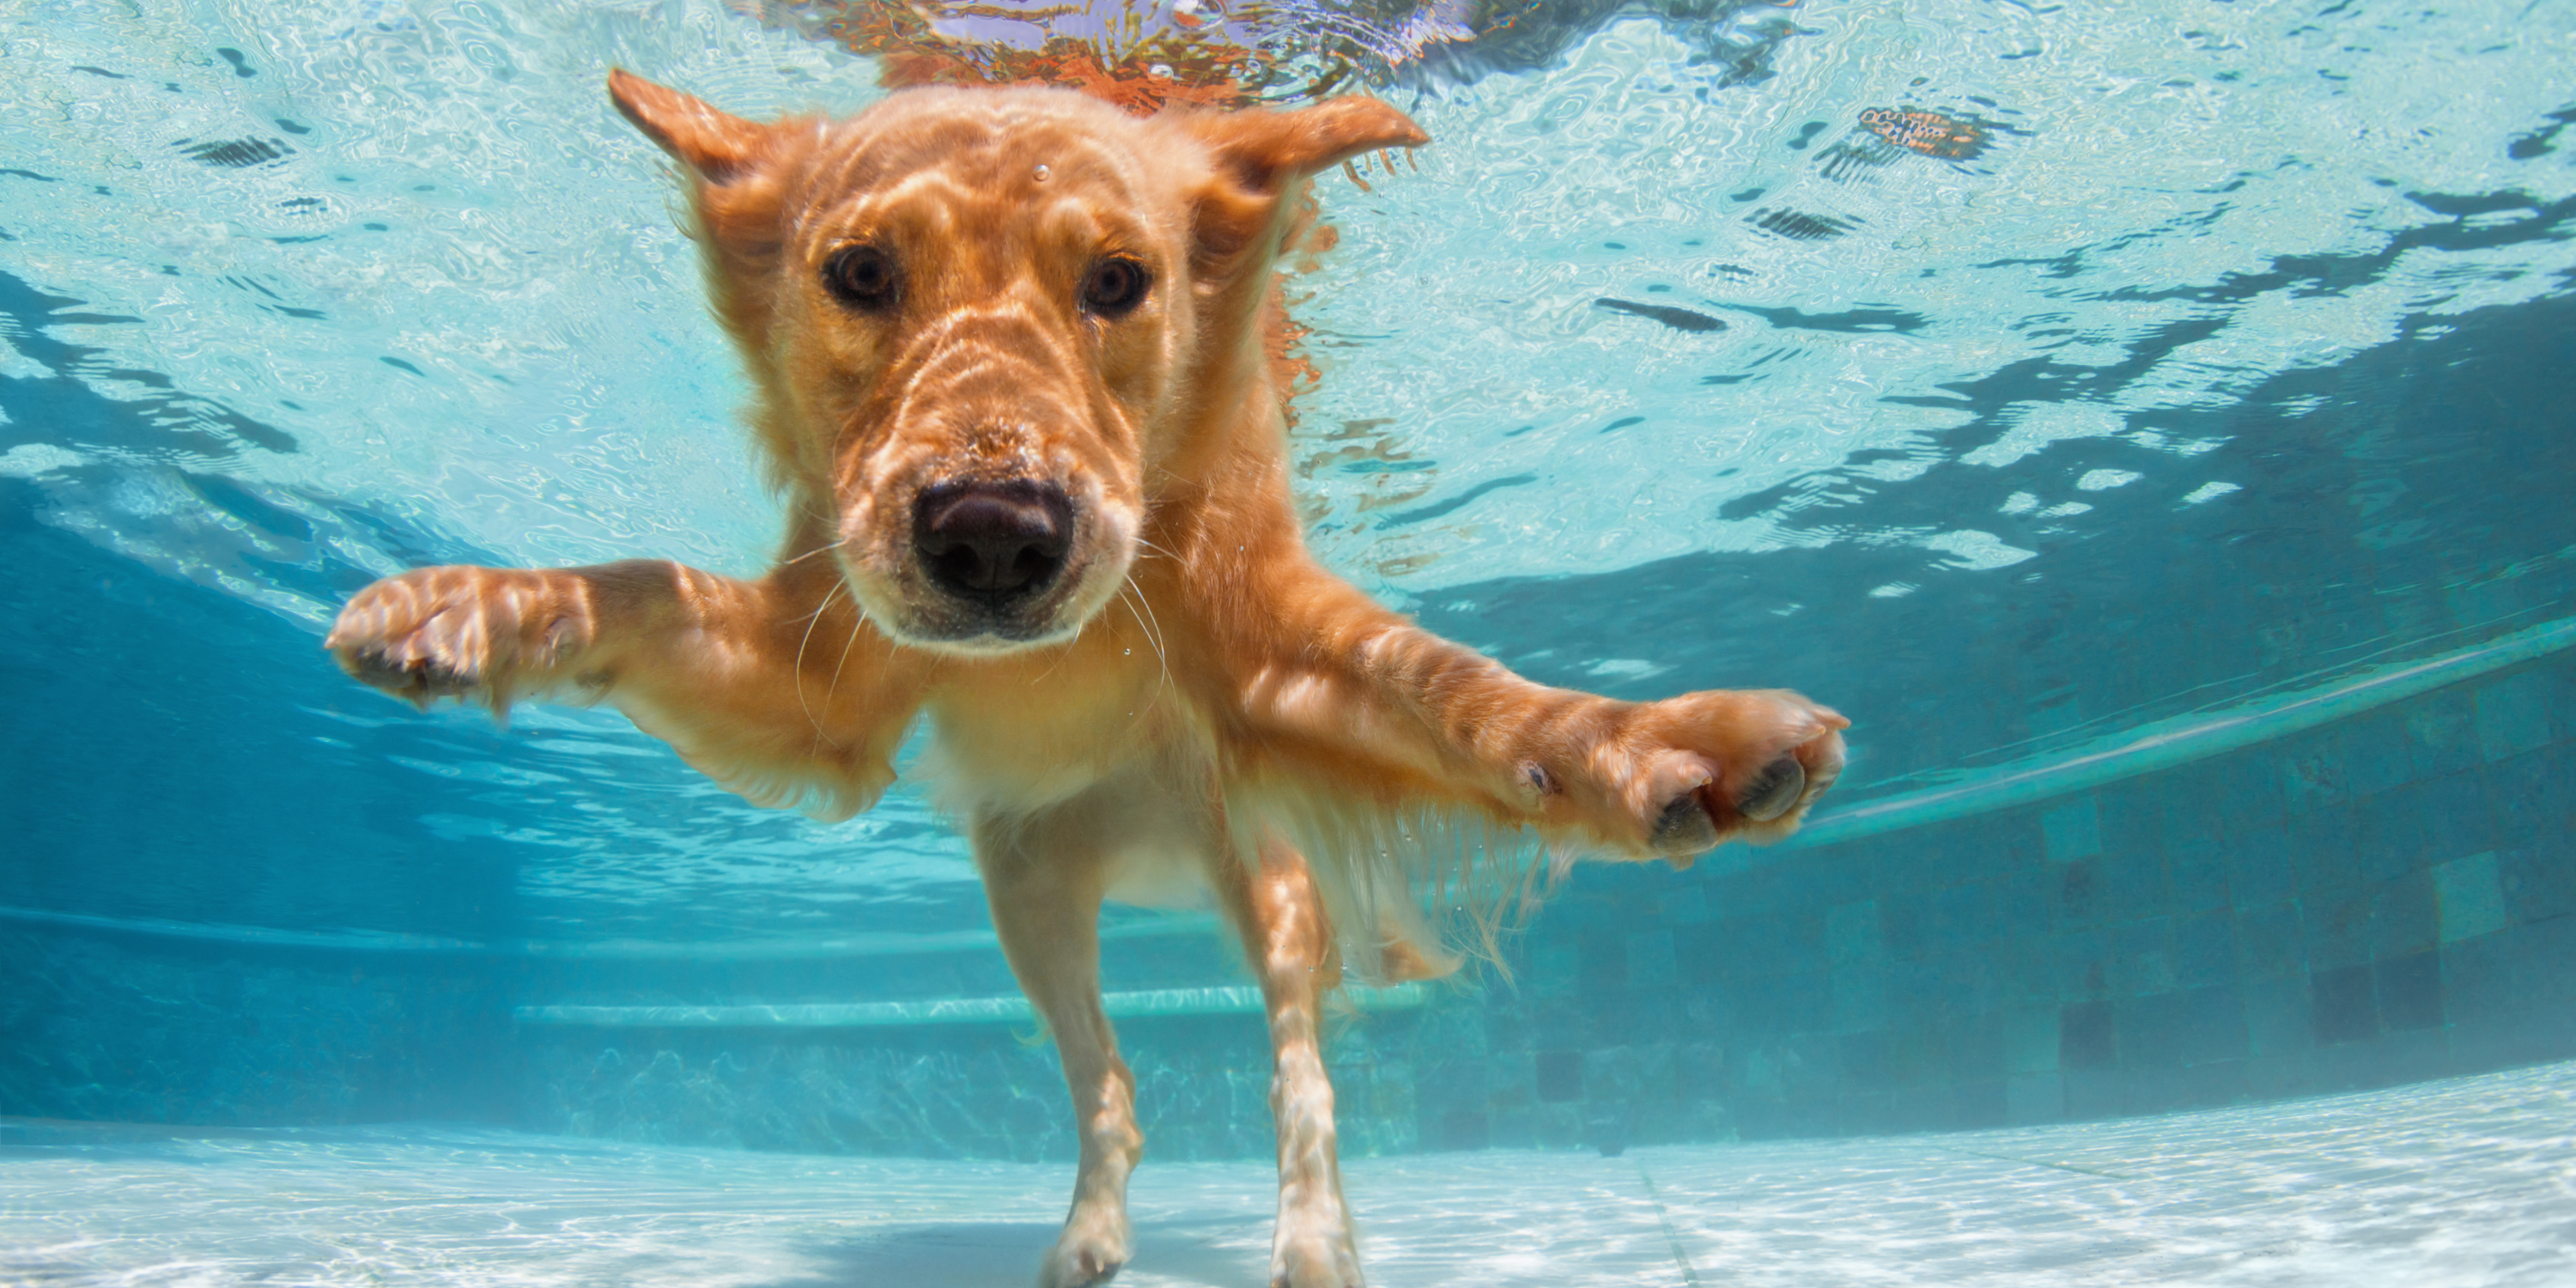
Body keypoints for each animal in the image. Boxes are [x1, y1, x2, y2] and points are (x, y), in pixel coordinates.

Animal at [327, 73, 1855, 1288]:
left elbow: (1457, 692)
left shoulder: (1275, 652)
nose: (994, 534)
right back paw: (1088, 1240)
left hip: (1265, 880)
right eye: (861, 274)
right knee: (1109, 1085)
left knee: (1301, 1076)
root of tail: (1150, 845)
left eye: (1119, 282)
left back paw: (1315, 1243)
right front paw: (467, 608)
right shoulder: (818, 682)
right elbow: (644, 584)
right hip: (1027, 889)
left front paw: (1663, 745)